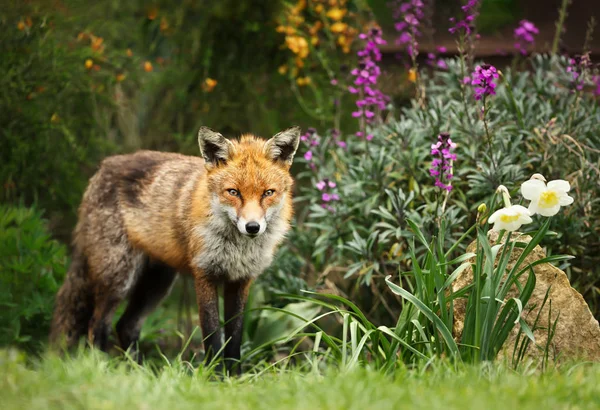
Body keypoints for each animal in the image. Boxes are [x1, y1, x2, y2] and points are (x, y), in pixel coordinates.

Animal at [48, 126, 300, 374]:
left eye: (268, 193)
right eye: (233, 192)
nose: (252, 227)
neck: (237, 249)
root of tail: (103, 168)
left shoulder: (240, 280)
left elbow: (234, 337)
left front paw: (234, 377)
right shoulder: (204, 274)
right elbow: (212, 334)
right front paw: (214, 376)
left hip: (157, 284)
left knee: (126, 326)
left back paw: (141, 374)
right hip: (119, 278)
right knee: (97, 326)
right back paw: (104, 370)